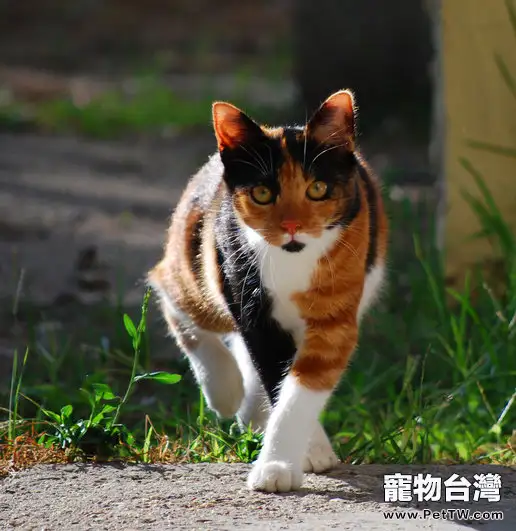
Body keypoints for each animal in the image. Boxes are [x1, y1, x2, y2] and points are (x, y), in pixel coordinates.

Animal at [148, 89, 388, 492]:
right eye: (262, 193)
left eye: (317, 189)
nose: (291, 226)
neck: (293, 262)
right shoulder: (252, 302)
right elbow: (275, 372)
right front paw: (296, 456)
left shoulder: (336, 314)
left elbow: (302, 385)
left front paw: (281, 462)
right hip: (199, 268)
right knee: (171, 291)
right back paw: (225, 389)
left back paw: (250, 410)